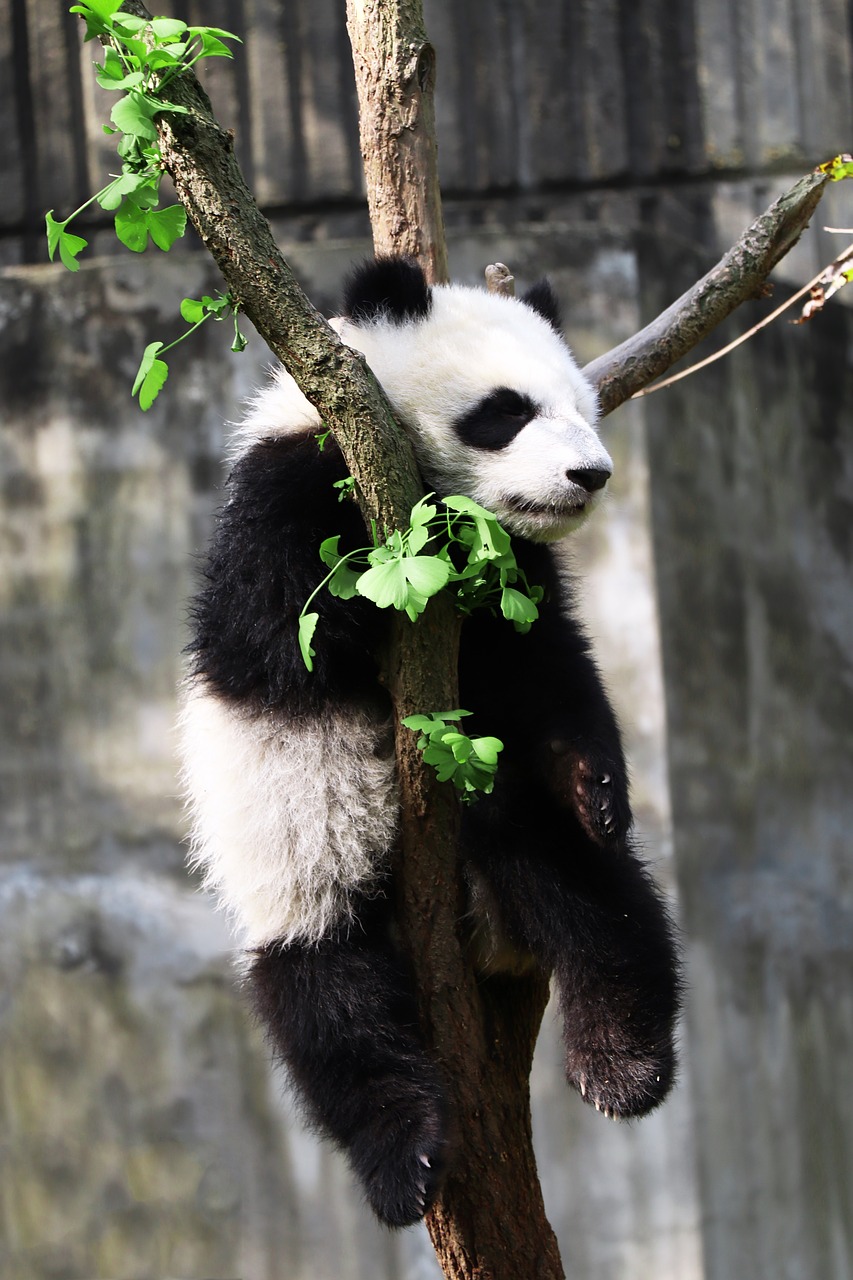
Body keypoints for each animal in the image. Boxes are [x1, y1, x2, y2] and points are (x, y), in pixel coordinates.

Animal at [178, 252, 676, 1228]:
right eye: (506, 410)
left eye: (583, 406)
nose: (590, 475)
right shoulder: (285, 496)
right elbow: (288, 633)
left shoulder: (511, 584)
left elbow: (547, 674)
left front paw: (597, 784)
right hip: (305, 890)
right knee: (329, 1007)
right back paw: (403, 1158)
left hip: (508, 840)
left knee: (587, 889)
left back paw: (623, 1060)